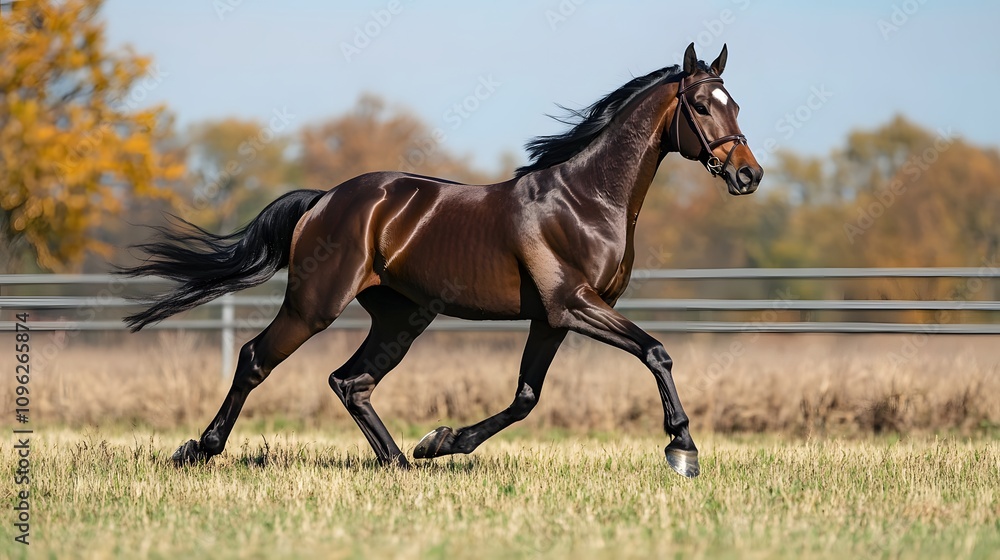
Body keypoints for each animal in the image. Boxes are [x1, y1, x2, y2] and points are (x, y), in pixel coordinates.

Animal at [121, 43, 762, 478]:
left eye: (735, 104)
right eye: (701, 105)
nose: (748, 175)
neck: (586, 199)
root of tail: (324, 199)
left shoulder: (552, 318)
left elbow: (526, 397)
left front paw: (440, 442)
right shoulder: (574, 305)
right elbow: (656, 351)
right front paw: (683, 448)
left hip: (402, 316)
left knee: (351, 381)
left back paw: (401, 461)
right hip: (314, 305)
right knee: (258, 359)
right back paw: (198, 450)